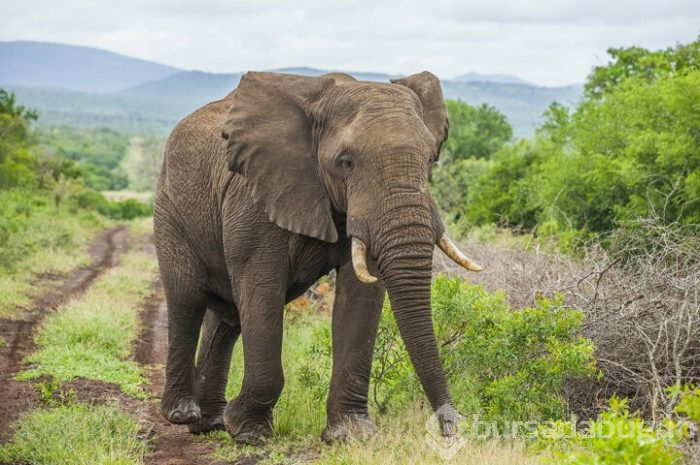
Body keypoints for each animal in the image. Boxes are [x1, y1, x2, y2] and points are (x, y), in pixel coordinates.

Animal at [153, 70, 482, 444]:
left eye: (430, 160)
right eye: (346, 162)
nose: (450, 429)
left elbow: (362, 295)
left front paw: (351, 435)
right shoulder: (254, 194)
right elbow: (261, 286)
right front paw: (250, 433)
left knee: (227, 317)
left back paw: (210, 424)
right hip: (170, 210)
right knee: (187, 299)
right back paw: (183, 414)